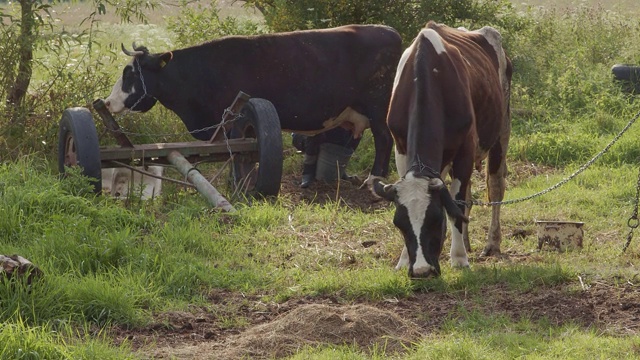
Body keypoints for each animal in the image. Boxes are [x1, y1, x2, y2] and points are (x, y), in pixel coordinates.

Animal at [107, 24, 402, 183]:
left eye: (130, 73)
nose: (108, 102)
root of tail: (387, 30)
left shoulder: (232, 121)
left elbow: (234, 154)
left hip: (378, 109)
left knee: (384, 139)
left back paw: (375, 178)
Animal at [372, 21, 512, 278]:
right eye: (399, 223)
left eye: (436, 219)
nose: (421, 270)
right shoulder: (401, 148)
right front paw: (404, 260)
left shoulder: (465, 148)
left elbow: (456, 203)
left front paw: (458, 258)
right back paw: (466, 242)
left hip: (502, 128)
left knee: (495, 186)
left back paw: (491, 243)